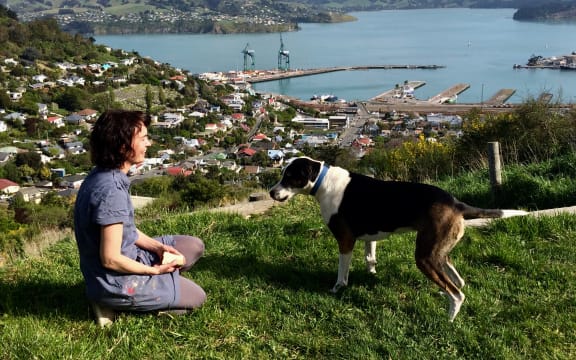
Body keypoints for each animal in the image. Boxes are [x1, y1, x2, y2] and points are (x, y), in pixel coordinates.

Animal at [270, 157, 528, 320]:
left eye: (290, 177)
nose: (272, 192)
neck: (323, 182)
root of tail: (456, 203)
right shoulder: (369, 236)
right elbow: (370, 258)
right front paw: (371, 274)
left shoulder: (345, 240)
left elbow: (342, 272)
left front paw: (337, 288)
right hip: (437, 249)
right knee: (456, 279)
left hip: (424, 257)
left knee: (457, 293)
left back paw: (449, 318)